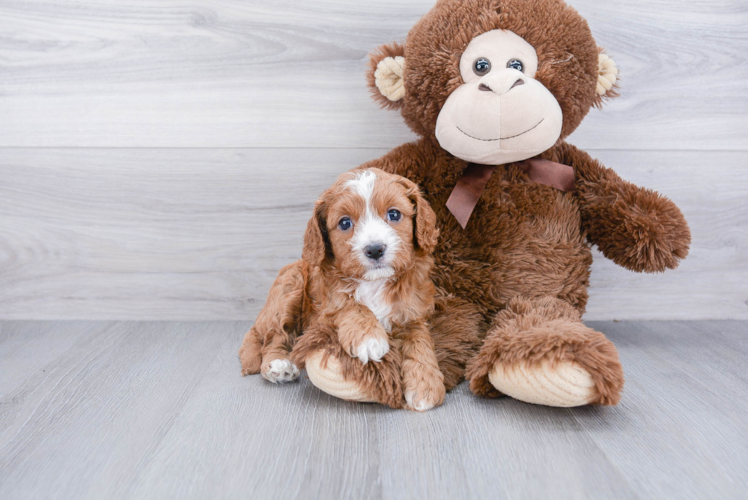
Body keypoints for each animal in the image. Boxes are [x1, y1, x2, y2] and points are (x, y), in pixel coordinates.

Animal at [243, 168, 448, 410]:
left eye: (394, 214)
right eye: (344, 223)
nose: (375, 249)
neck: (374, 281)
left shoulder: (413, 310)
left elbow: (419, 340)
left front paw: (426, 385)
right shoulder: (327, 306)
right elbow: (351, 306)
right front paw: (369, 338)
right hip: (290, 284)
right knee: (276, 336)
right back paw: (278, 364)